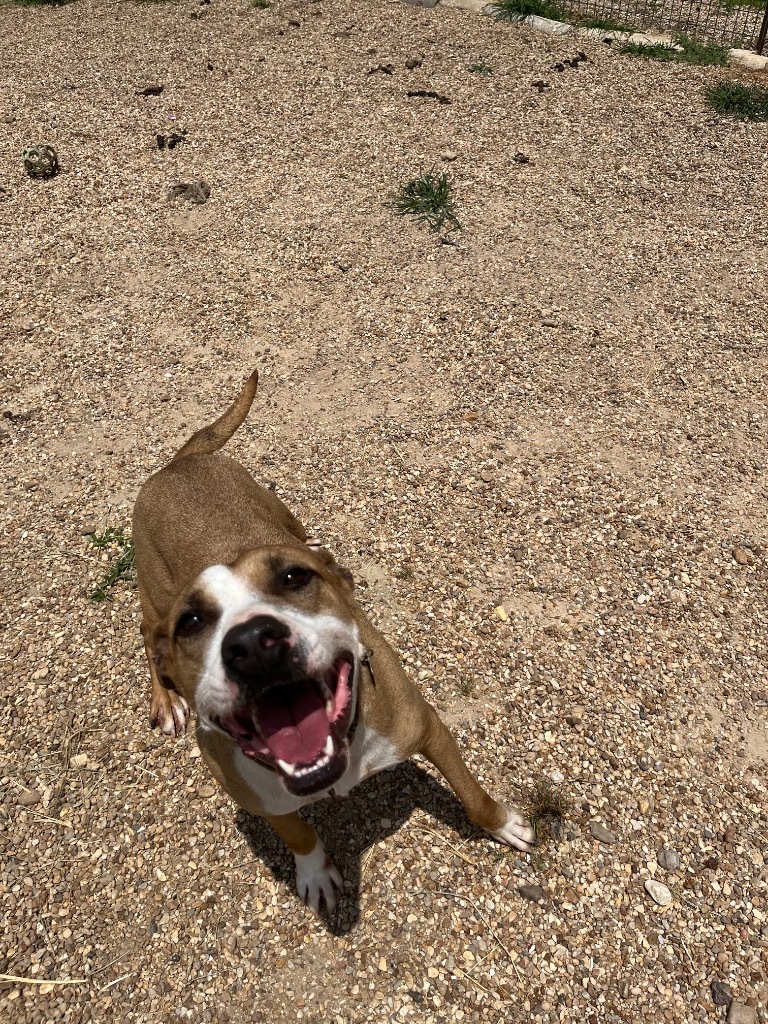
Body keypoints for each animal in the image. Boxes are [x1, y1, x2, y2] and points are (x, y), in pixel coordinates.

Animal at [132, 372, 532, 917]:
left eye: (294, 577)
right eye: (192, 621)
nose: (252, 643)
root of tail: (177, 463)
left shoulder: (428, 729)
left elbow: (473, 795)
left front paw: (504, 824)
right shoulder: (258, 799)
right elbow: (299, 834)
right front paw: (316, 873)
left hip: (280, 512)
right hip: (151, 597)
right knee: (147, 639)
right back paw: (165, 698)